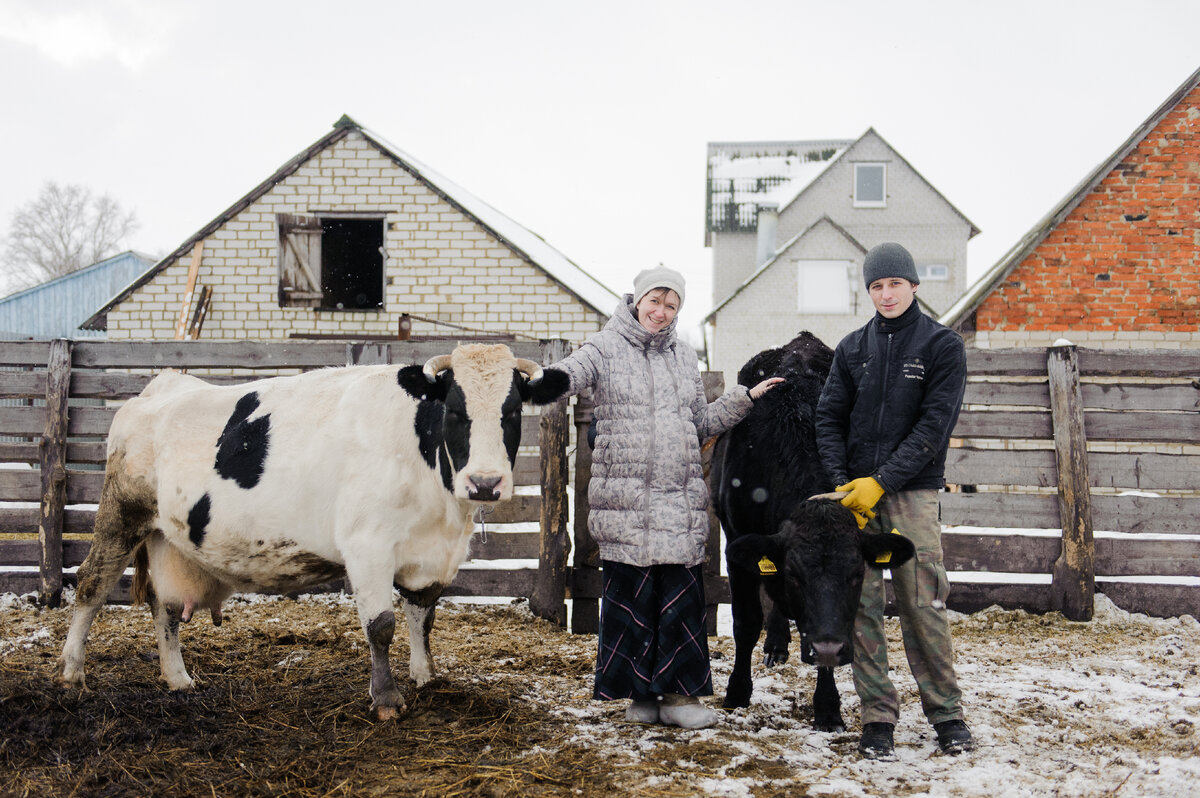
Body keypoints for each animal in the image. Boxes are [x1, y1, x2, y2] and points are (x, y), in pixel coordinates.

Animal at [58, 345, 573, 720]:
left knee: (163, 608)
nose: (485, 483)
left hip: (169, 539)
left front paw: (427, 676)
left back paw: (178, 679)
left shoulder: (431, 555)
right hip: (121, 513)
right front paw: (387, 700)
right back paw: (71, 672)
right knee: (91, 585)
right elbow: (381, 626)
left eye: (512, 412)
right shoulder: (368, 546)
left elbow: (422, 617)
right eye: (455, 410)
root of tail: (160, 388)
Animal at [705, 333, 912, 729]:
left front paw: (828, 707)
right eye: (795, 575)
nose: (828, 647)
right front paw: (737, 692)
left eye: (856, 575)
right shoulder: (736, 544)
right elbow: (746, 622)